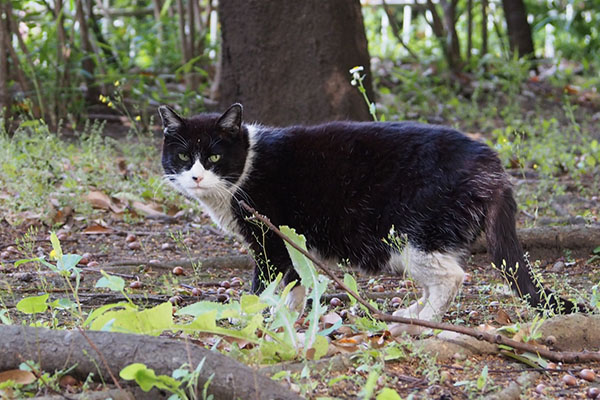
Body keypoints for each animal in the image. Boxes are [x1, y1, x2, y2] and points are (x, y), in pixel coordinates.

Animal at [159, 102, 580, 334]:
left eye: (214, 157)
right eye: (183, 156)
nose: (195, 177)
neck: (247, 166)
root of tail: (493, 165)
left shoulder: (270, 240)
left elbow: (264, 285)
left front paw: (248, 316)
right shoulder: (294, 246)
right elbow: (296, 283)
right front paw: (285, 320)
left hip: (412, 234)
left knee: (451, 277)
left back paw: (420, 322)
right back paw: (411, 313)